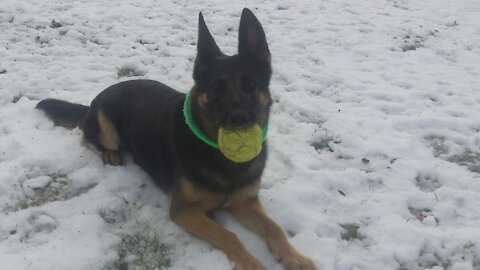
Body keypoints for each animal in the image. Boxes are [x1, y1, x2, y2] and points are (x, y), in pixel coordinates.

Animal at [35, 8, 316, 270]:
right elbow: (229, 235)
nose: (239, 118)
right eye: (216, 88)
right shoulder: (184, 210)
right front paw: (252, 263)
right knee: (90, 139)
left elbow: (274, 228)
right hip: (107, 128)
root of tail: (94, 101)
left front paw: (295, 258)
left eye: (250, 85)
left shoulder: (245, 202)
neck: (221, 157)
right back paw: (111, 154)